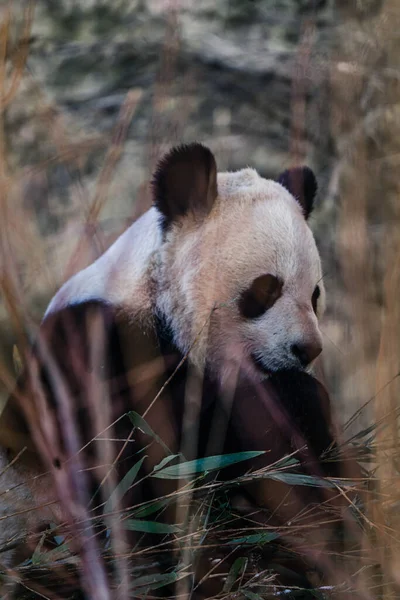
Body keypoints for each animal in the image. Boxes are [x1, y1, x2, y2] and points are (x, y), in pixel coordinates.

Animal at [0, 144, 358, 596]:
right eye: (265, 289)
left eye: (314, 295)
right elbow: (141, 475)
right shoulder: (93, 351)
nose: (307, 349)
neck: (154, 300)